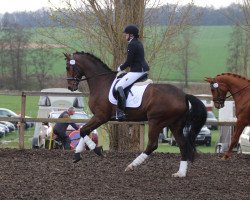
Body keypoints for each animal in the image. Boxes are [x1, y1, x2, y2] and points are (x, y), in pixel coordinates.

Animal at [64, 52, 207, 178]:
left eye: (68, 67)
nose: (70, 87)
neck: (101, 82)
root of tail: (183, 96)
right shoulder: (98, 117)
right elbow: (84, 131)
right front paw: (77, 155)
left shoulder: (101, 117)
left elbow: (83, 130)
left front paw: (98, 151)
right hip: (174, 124)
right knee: (182, 144)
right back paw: (180, 173)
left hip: (156, 122)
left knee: (152, 145)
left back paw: (131, 165)